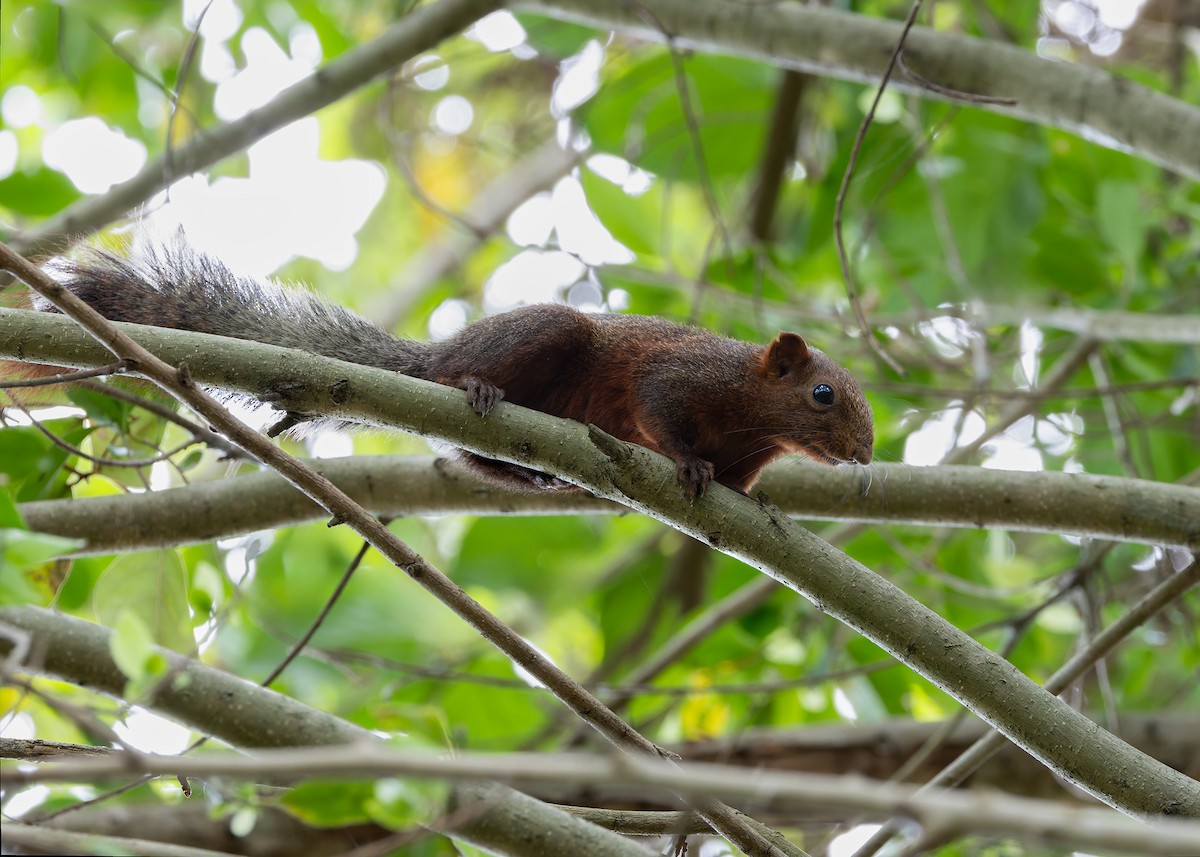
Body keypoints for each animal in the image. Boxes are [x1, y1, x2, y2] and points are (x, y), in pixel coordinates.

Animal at [34, 241, 874, 497]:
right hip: (543, 333)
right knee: (458, 383)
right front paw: (690, 465)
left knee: (475, 460)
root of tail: (428, 355)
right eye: (822, 394)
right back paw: (471, 384)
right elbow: (660, 413)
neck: (755, 410)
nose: (866, 460)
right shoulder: (679, 377)